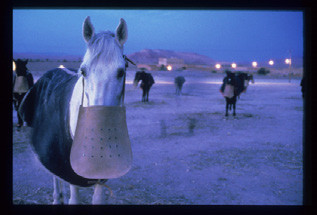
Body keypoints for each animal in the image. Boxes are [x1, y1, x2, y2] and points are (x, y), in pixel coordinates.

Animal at [18, 15, 129, 204]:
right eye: (83, 71)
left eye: (121, 71)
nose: (99, 126)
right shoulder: (69, 170)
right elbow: (74, 199)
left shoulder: (102, 174)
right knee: (55, 176)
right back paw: (57, 198)